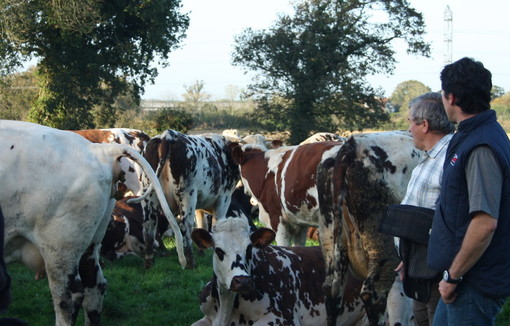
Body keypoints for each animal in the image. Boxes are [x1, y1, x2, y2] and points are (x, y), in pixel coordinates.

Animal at [132, 130, 242, 270]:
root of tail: (168, 134)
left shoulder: (200, 203)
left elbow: (202, 224)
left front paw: (203, 250)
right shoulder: (224, 199)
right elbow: (215, 225)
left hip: (149, 193)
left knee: (149, 226)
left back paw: (149, 263)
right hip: (186, 195)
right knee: (185, 227)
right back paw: (191, 263)